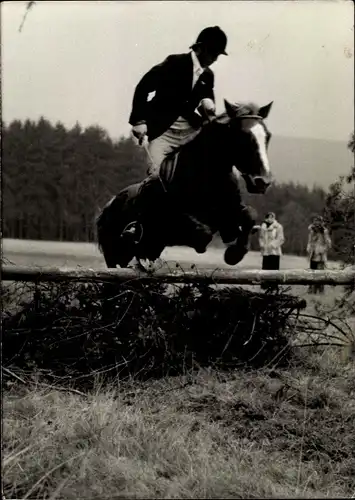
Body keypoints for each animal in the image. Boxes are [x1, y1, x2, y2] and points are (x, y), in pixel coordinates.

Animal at [96, 98, 274, 270]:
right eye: (242, 136)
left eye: (268, 136)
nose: (262, 182)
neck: (207, 179)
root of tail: (109, 205)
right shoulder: (177, 219)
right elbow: (203, 232)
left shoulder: (230, 210)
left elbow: (249, 215)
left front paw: (234, 253)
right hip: (115, 254)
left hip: (151, 248)